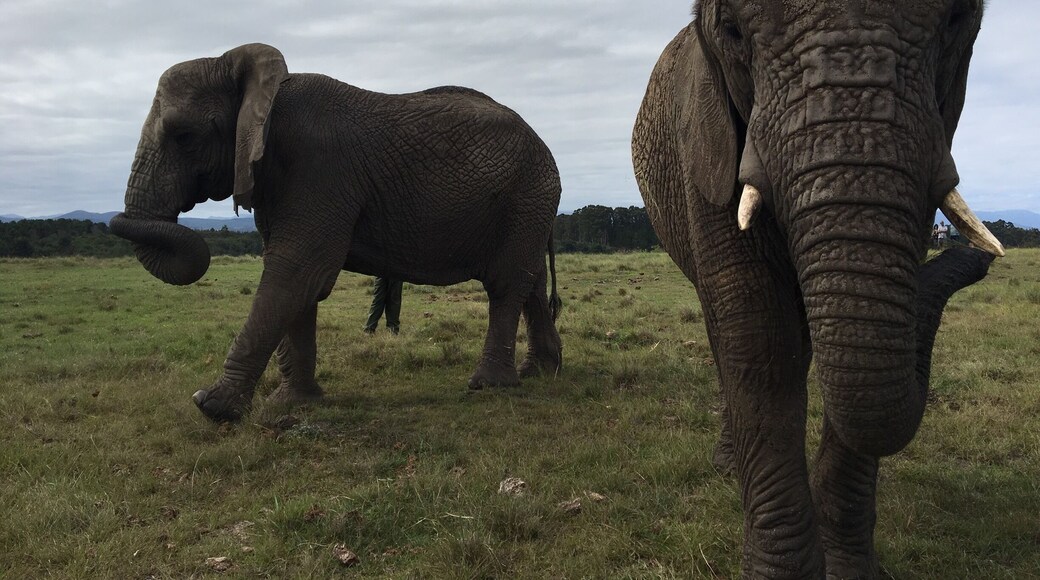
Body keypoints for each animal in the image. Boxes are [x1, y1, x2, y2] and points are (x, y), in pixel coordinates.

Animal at [110, 43, 563, 422]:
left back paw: (488, 385)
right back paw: (541, 371)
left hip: (527, 195)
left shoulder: (319, 169)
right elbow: (296, 281)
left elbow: (297, 271)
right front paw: (292, 403)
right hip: (529, 205)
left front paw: (212, 407)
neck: (265, 92)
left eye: (184, 136)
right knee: (532, 281)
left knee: (506, 283)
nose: (110, 220)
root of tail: (545, 147)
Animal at [632, 2, 1001, 578]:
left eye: (956, 23)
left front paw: (848, 568)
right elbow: (759, 338)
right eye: (733, 31)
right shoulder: (707, 149)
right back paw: (727, 464)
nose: (975, 256)